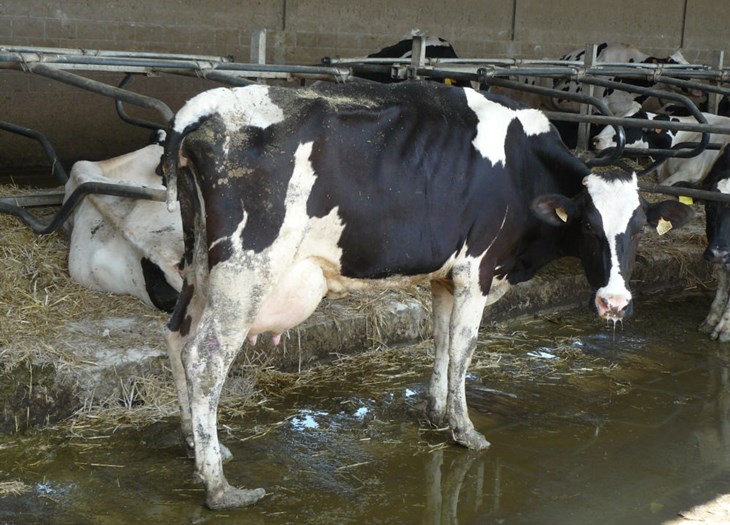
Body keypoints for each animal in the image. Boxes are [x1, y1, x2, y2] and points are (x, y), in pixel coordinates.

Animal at [160, 81, 693, 509]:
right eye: (587, 226)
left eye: (639, 229)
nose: (615, 303)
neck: (522, 167)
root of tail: (206, 108)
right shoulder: (478, 268)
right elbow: (463, 347)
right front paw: (465, 430)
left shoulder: (446, 273)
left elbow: (440, 339)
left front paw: (436, 412)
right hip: (244, 273)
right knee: (206, 359)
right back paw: (218, 486)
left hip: (200, 267)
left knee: (177, 337)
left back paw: (194, 444)